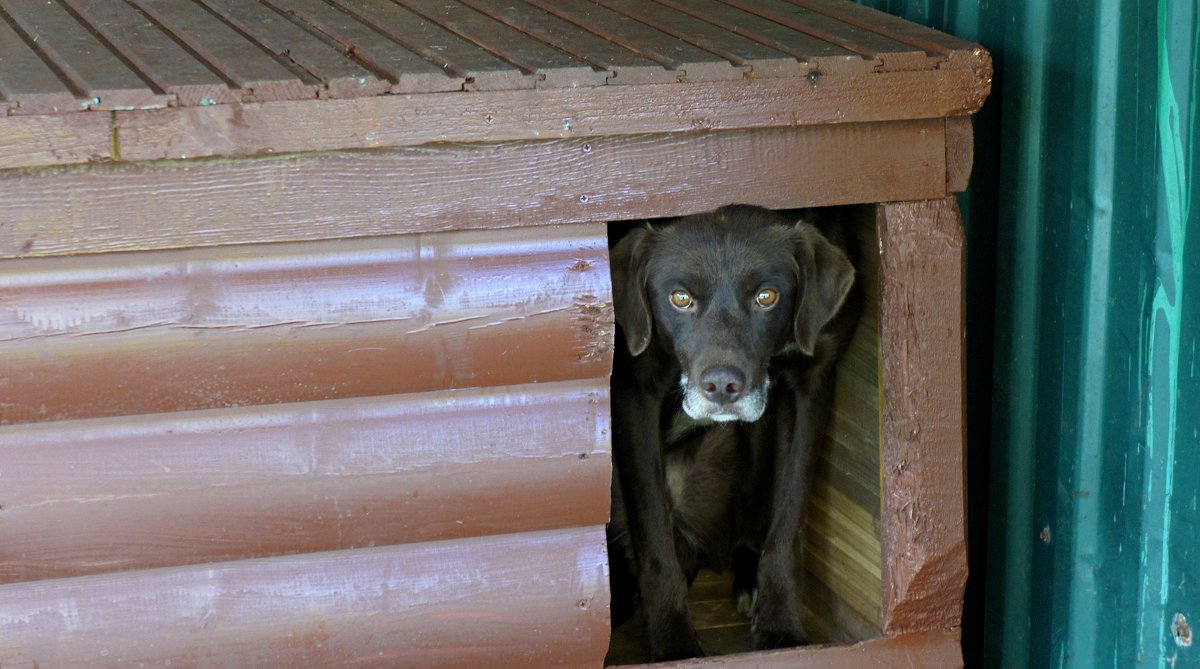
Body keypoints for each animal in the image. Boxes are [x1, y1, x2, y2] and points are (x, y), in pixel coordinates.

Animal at [609, 203, 854, 661]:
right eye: (680, 298)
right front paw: (674, 645)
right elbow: (654, 541)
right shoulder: (635, 390)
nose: (722, 386)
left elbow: (787, 524)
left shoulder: (812, 381)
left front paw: (781, 628)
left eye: (767, 297)